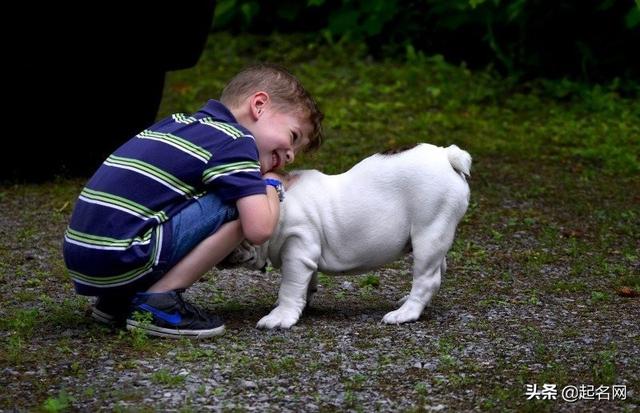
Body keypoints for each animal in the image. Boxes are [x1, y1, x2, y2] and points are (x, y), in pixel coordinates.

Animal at [229, 143, 470, 330]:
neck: (276, 204)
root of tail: (447, 156)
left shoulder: (297, 251)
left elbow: (289, 286)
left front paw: (280, 316)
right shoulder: (305, 256)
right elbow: (306, 282)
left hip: (429, 231)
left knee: (426, 278)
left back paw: (405, 313)